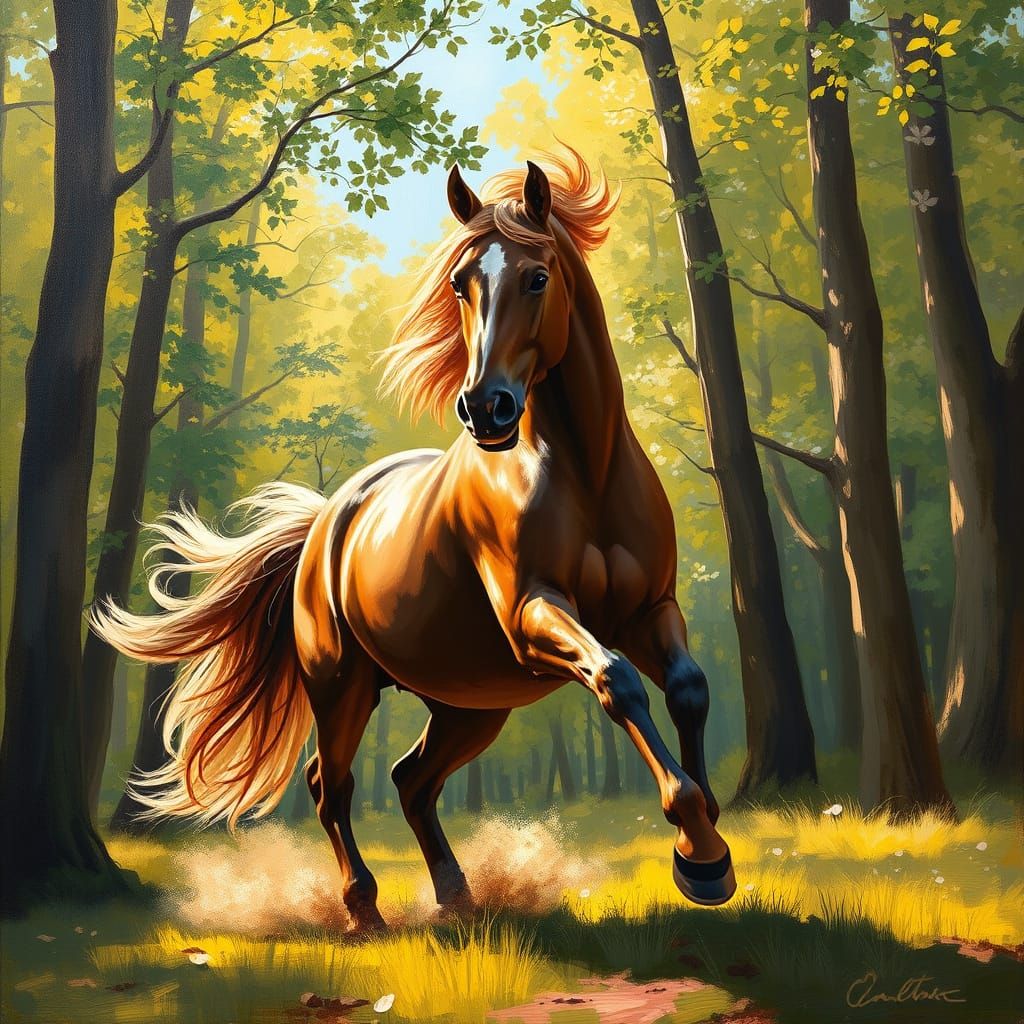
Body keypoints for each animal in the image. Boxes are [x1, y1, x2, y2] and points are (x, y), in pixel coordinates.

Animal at [92, 149, 735, 932]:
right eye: (461, 283)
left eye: (537, 277)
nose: (486, 408)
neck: (586, 470)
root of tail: (325, 522)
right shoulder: (534, 615)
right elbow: (617, 680)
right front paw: (696, 844)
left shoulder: (650, 610)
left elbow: (688, 687)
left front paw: (707, 851)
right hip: (343, 685)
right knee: (331, 783)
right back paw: (364, 910)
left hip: (470, 703)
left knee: (410, 779)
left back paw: (457, 896)